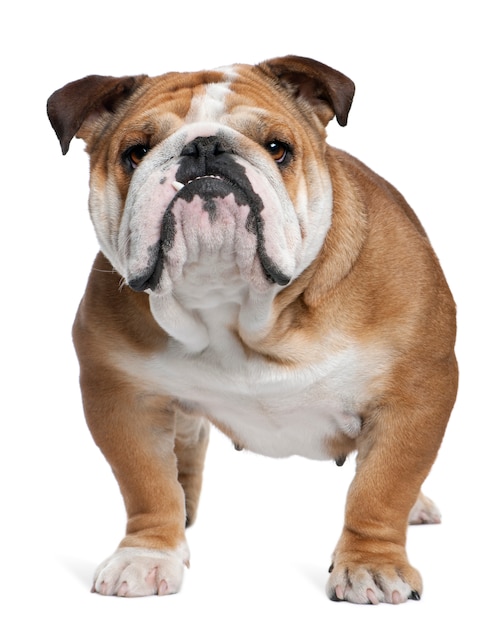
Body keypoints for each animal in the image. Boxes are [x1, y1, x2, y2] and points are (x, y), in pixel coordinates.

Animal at [48, 56, 458, 604]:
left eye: (277, 148)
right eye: (136, 153)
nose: (205, 149)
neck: (239, 311)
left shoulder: (414, 394)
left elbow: (383, 487)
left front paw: (371, 565)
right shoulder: (121, 394)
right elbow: (147, 482)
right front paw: (148, 554)